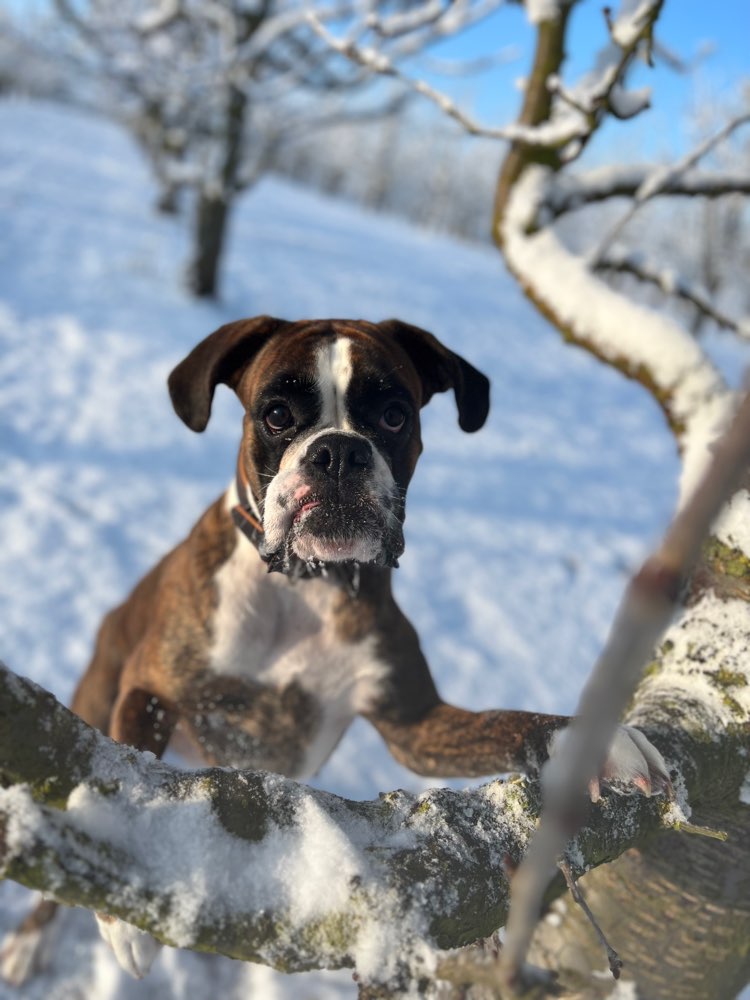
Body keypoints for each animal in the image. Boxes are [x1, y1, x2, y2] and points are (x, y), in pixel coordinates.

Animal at [0, 316, 668, 980]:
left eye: (395, 416)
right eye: (276, 414)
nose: (340, 452)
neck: (306, 587)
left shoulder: (414, 725)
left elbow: (505, 722)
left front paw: (586, 742)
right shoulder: (151, 690)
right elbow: (127, 780)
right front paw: (127, 924)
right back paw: (30, 943)